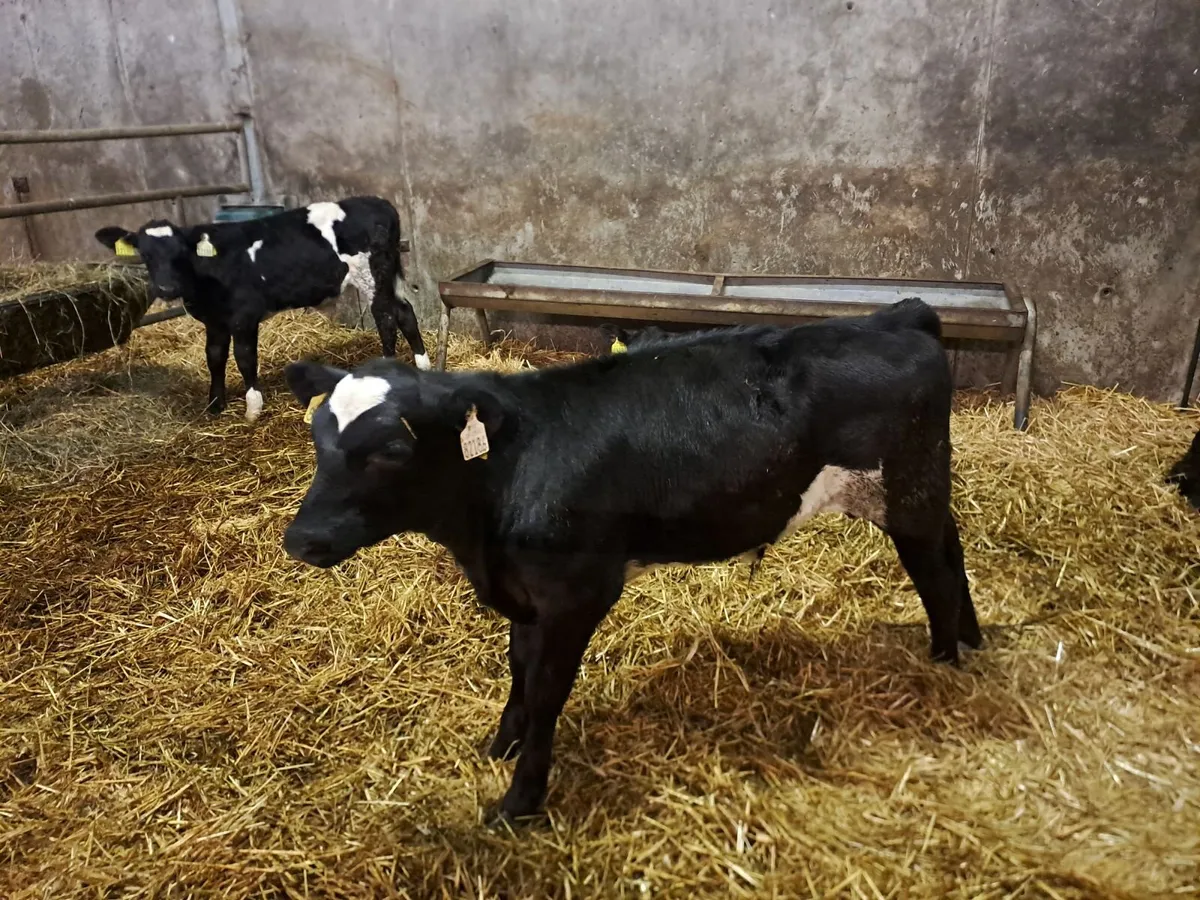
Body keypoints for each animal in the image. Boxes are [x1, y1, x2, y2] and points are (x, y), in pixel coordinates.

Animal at [95, 196, 429, 422]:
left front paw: (253, 408)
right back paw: (422, 364)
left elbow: (244, 358)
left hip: (372, 275)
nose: (166, 288)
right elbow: (214, 357)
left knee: (386, 318)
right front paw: (215, 404)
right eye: (145, 255)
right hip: (387, 275)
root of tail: (378, 202)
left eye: (180, 253)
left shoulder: (244, 315)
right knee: (405, 312)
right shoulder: (214, 320)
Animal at [280, 297, 981, 824]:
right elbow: (518, 671)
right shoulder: (527, 592)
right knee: (953, 549)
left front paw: (520, 801)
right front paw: (499, 745)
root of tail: (895, 316)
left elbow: (546, 692)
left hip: (906, 488)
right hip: (919, 488)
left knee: (935, 573)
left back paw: (945, 662)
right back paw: (972, 641)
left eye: (392, 450)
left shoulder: (576, 595)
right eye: (318, 437)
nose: (301, 539)